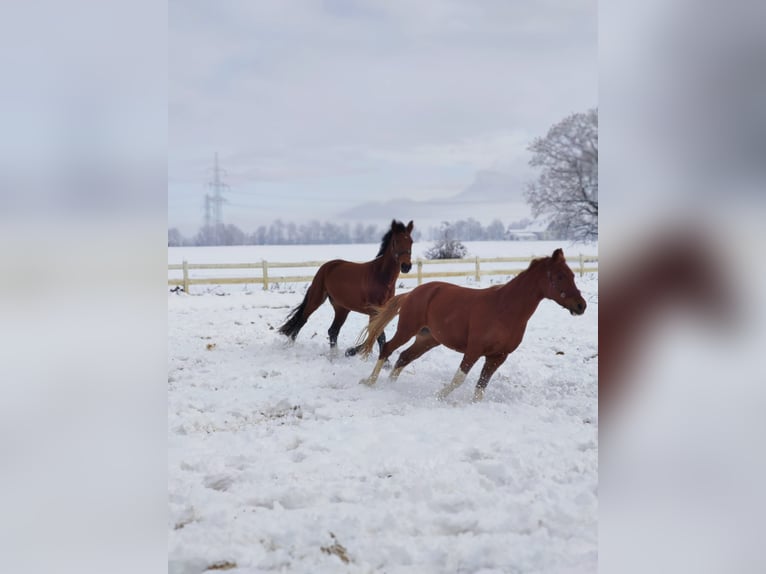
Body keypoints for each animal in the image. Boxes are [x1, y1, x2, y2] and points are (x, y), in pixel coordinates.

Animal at [280, 220, 414, 356]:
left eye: (411, 241)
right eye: (396, 241)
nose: (406, 266)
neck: (380, 276)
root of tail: (327, 266)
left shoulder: (383, 312)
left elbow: (376, 335)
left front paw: (352, 351)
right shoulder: (373, 311)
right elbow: (378, 335)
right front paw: (353, 351)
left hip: (342, 308)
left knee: (333, 330)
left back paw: (335, 355)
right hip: (316, 300)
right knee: (302, 321)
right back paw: (290, 347)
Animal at [360, 250, 588, 402]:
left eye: (572, 275)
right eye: (560, 276)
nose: (581, 305)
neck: (505, 309)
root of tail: (413, 293)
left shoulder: (497, 357)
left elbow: (481, 386)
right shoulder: (474, 350)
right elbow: (459, 379)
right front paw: (439, 396)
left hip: (427, 339)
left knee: (403, 357)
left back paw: (390, 385)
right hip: (407, 330)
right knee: (388, 348)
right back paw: (370, 382)